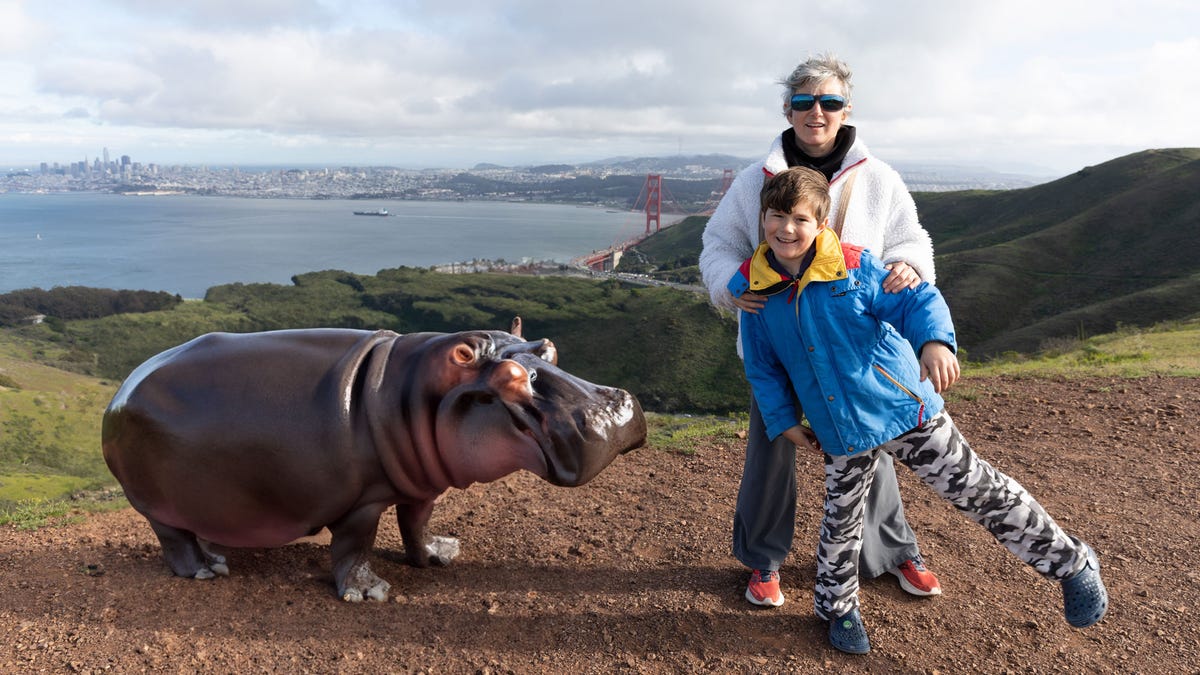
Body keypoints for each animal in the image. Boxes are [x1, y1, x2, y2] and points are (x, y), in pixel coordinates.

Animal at [102, 320, 646, 601]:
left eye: (549, 348)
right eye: (509, 378)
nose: (614, 411)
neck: (409, 389)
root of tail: (120, 392)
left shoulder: (423, 486)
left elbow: (416, 524)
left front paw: (440, 554)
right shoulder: (362, 502)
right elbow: (355, 545)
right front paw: (369, 593)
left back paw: (218, 553)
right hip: (155, 504)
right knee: (174, 539)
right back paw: (206, 571)